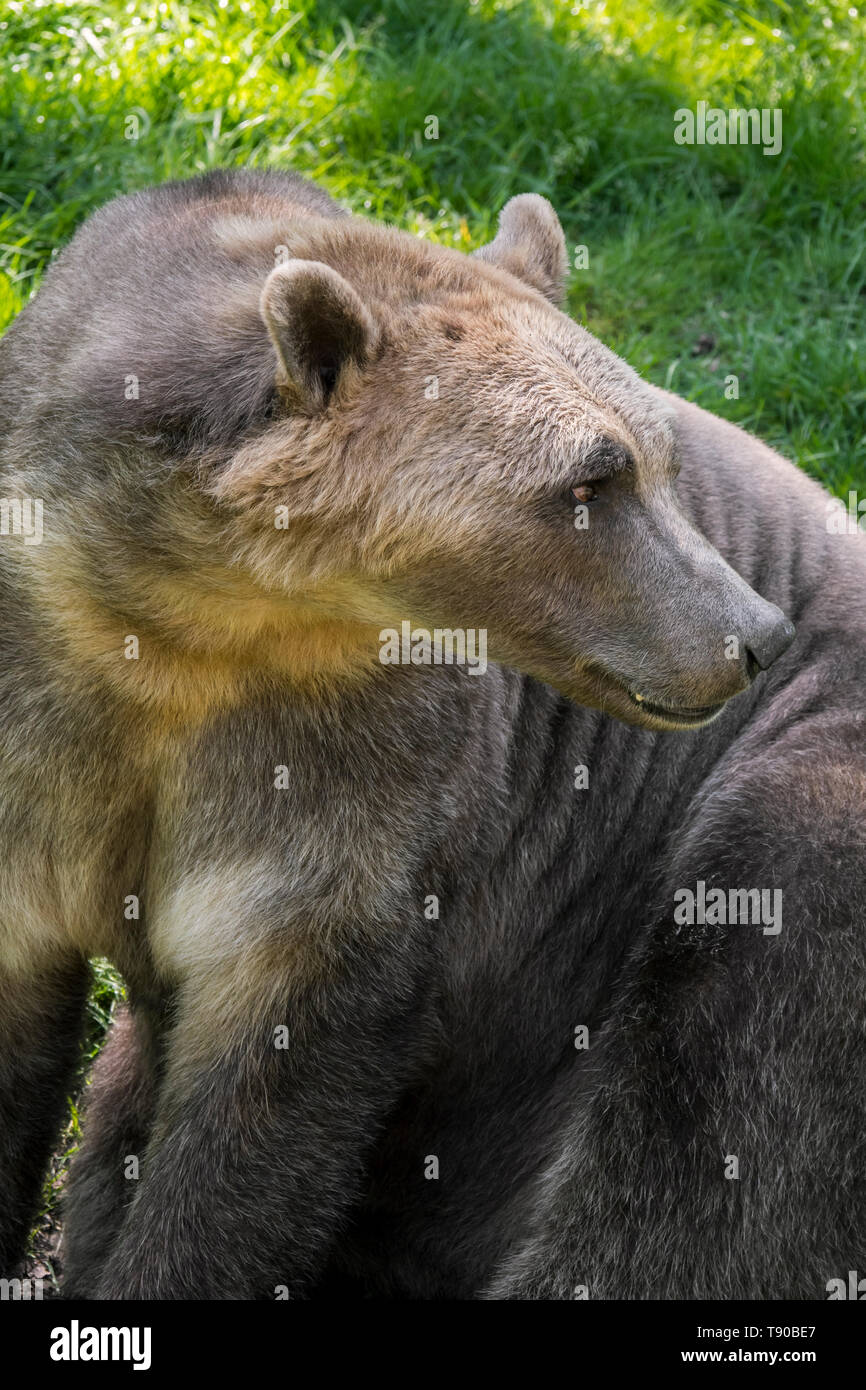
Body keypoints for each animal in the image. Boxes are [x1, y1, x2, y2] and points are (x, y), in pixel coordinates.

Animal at [0, 168, 862, 1300]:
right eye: (589, 482)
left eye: (659, 460)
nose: (755, 634)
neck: (181, 626)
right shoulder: (48, 714)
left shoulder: (361, 781)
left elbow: (265, 1098)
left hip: (787, 805)